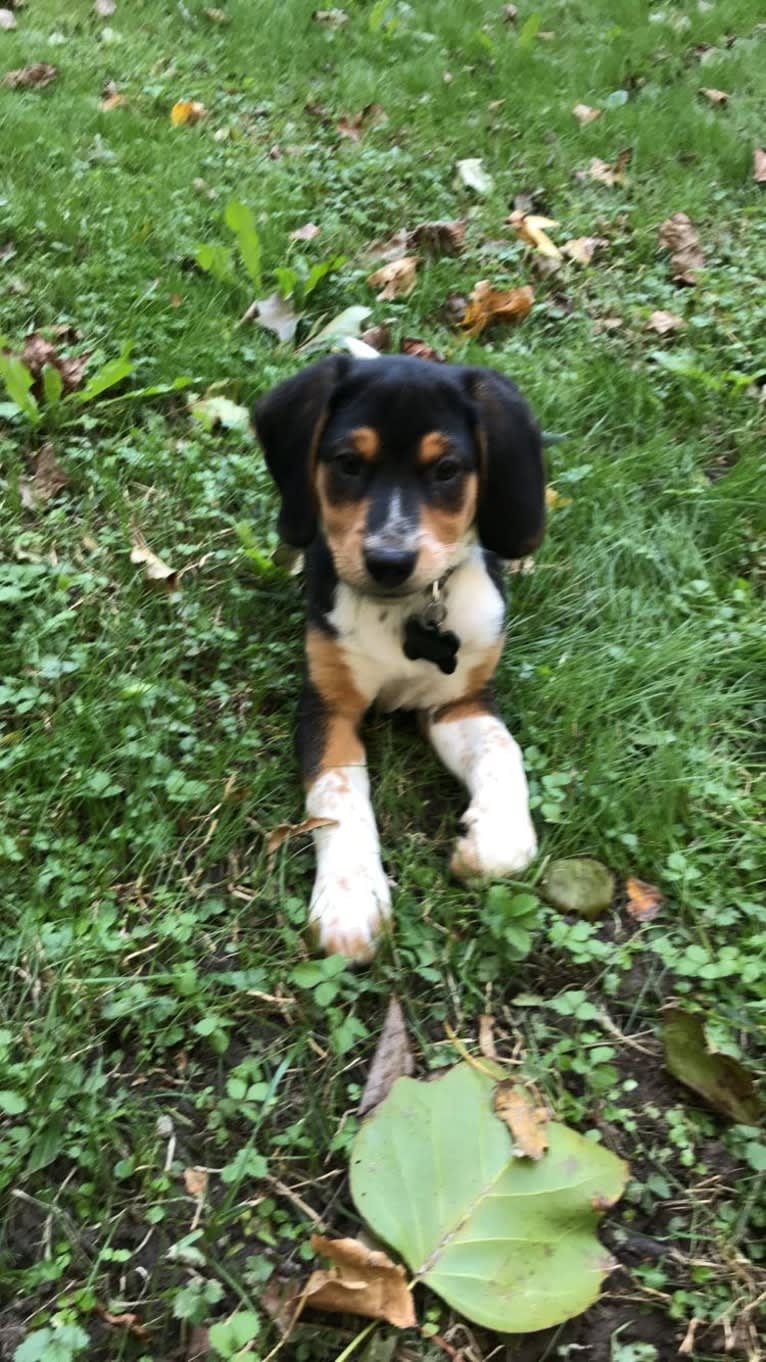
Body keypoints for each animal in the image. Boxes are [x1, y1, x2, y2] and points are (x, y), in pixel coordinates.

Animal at [254, 354, 542, 969]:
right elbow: (339, 798)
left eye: (448, 470)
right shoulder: (327, 707)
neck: (406, 610)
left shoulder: (461, 702)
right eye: (347, 463)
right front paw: (349, 899)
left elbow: (504, 753)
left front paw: (495, 840)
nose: (389, 560)